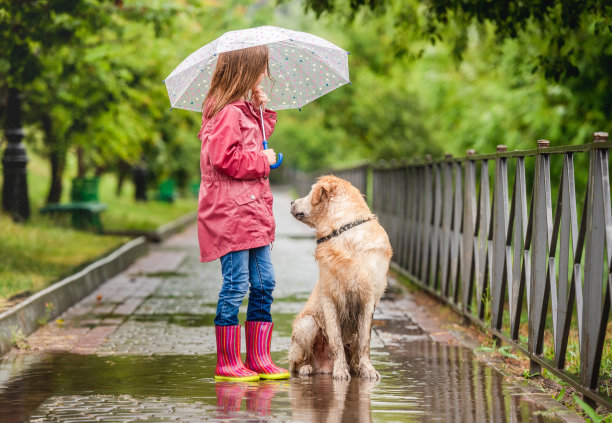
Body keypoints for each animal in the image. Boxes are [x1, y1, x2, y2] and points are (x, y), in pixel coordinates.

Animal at [288, 176, 392, 380]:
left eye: (310, 192)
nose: (292, 202)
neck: (343, 231)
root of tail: (322, 367)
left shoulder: (368, 299)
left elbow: (365, 340)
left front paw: (368, 369)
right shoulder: (329, 297)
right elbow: (335, 339)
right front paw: (340, 371)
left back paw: (355, 367)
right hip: (307, 324)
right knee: (296, 363)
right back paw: (307, 368)